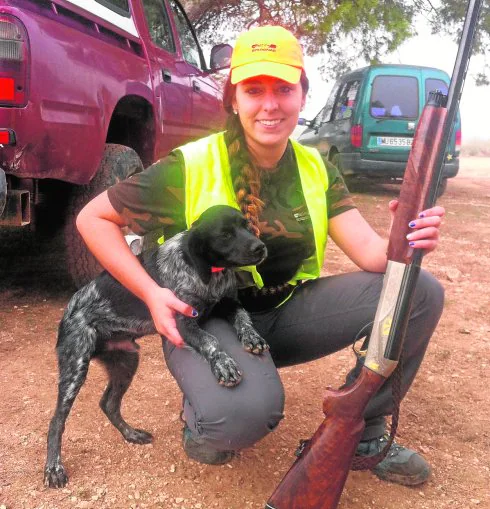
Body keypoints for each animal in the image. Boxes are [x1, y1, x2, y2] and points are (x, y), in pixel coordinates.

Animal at [43, 204, 268, 486]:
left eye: (246, 225)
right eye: (225, 235)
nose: (261, 247)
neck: (210, 275)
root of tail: (67, 312)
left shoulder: (228, 303)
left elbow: (243, 318)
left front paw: (253, 338)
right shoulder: (182, 322)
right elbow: (211, 340)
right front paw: (224, 365)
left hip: (126, 362)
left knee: (108, 404)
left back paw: (131, 434)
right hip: (76, 367)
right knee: (56, 421)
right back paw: (54, 468)